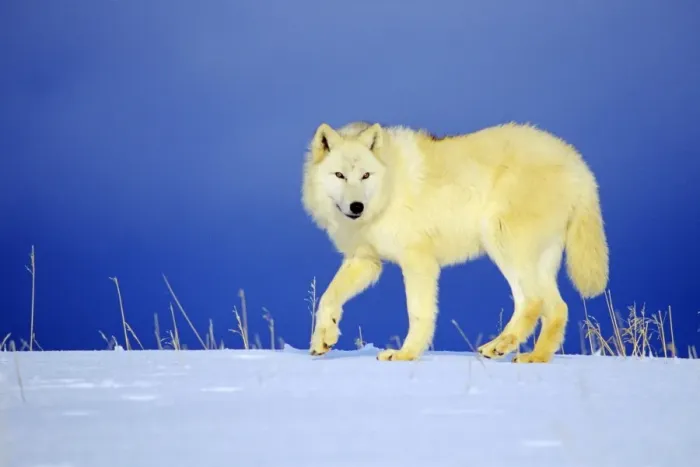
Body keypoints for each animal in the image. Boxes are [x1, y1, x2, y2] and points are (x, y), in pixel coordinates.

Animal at [301, 120, 609, 363]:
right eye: (340, 175)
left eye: (365, 175)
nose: (356, 206)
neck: (387, 191)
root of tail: (578, 163)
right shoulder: (365, 260)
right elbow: (328, 298)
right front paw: (322, 340)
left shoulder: (418, 260)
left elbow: (418, 312)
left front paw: (406, 354)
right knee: (556, 308)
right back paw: (533, 357)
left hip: (502, 242)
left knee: (533, 301)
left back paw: (502, 345)